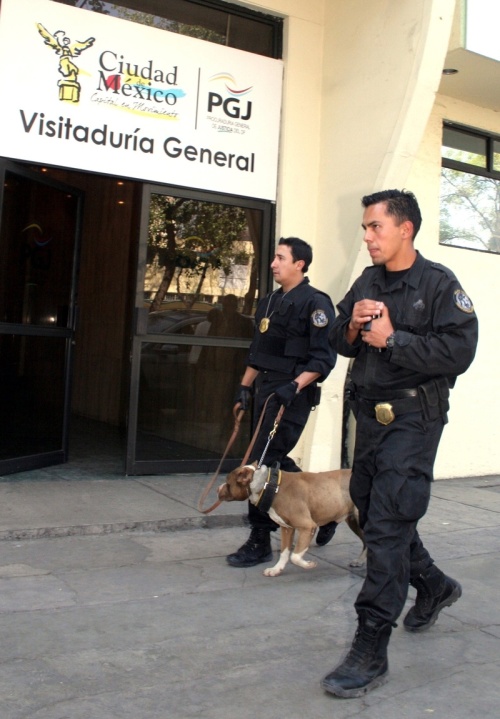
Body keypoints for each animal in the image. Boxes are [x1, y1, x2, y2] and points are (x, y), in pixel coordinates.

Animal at [218, 464, 366, 577]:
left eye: (228, 483)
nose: (218, 488)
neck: (269, 485)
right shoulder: (287, 529)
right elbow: (284, 553)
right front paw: (276, 569)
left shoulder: (307, 526)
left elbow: (295, 556)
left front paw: (308, 564)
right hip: (354, 521)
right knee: (365, 543)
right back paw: (359, 561)